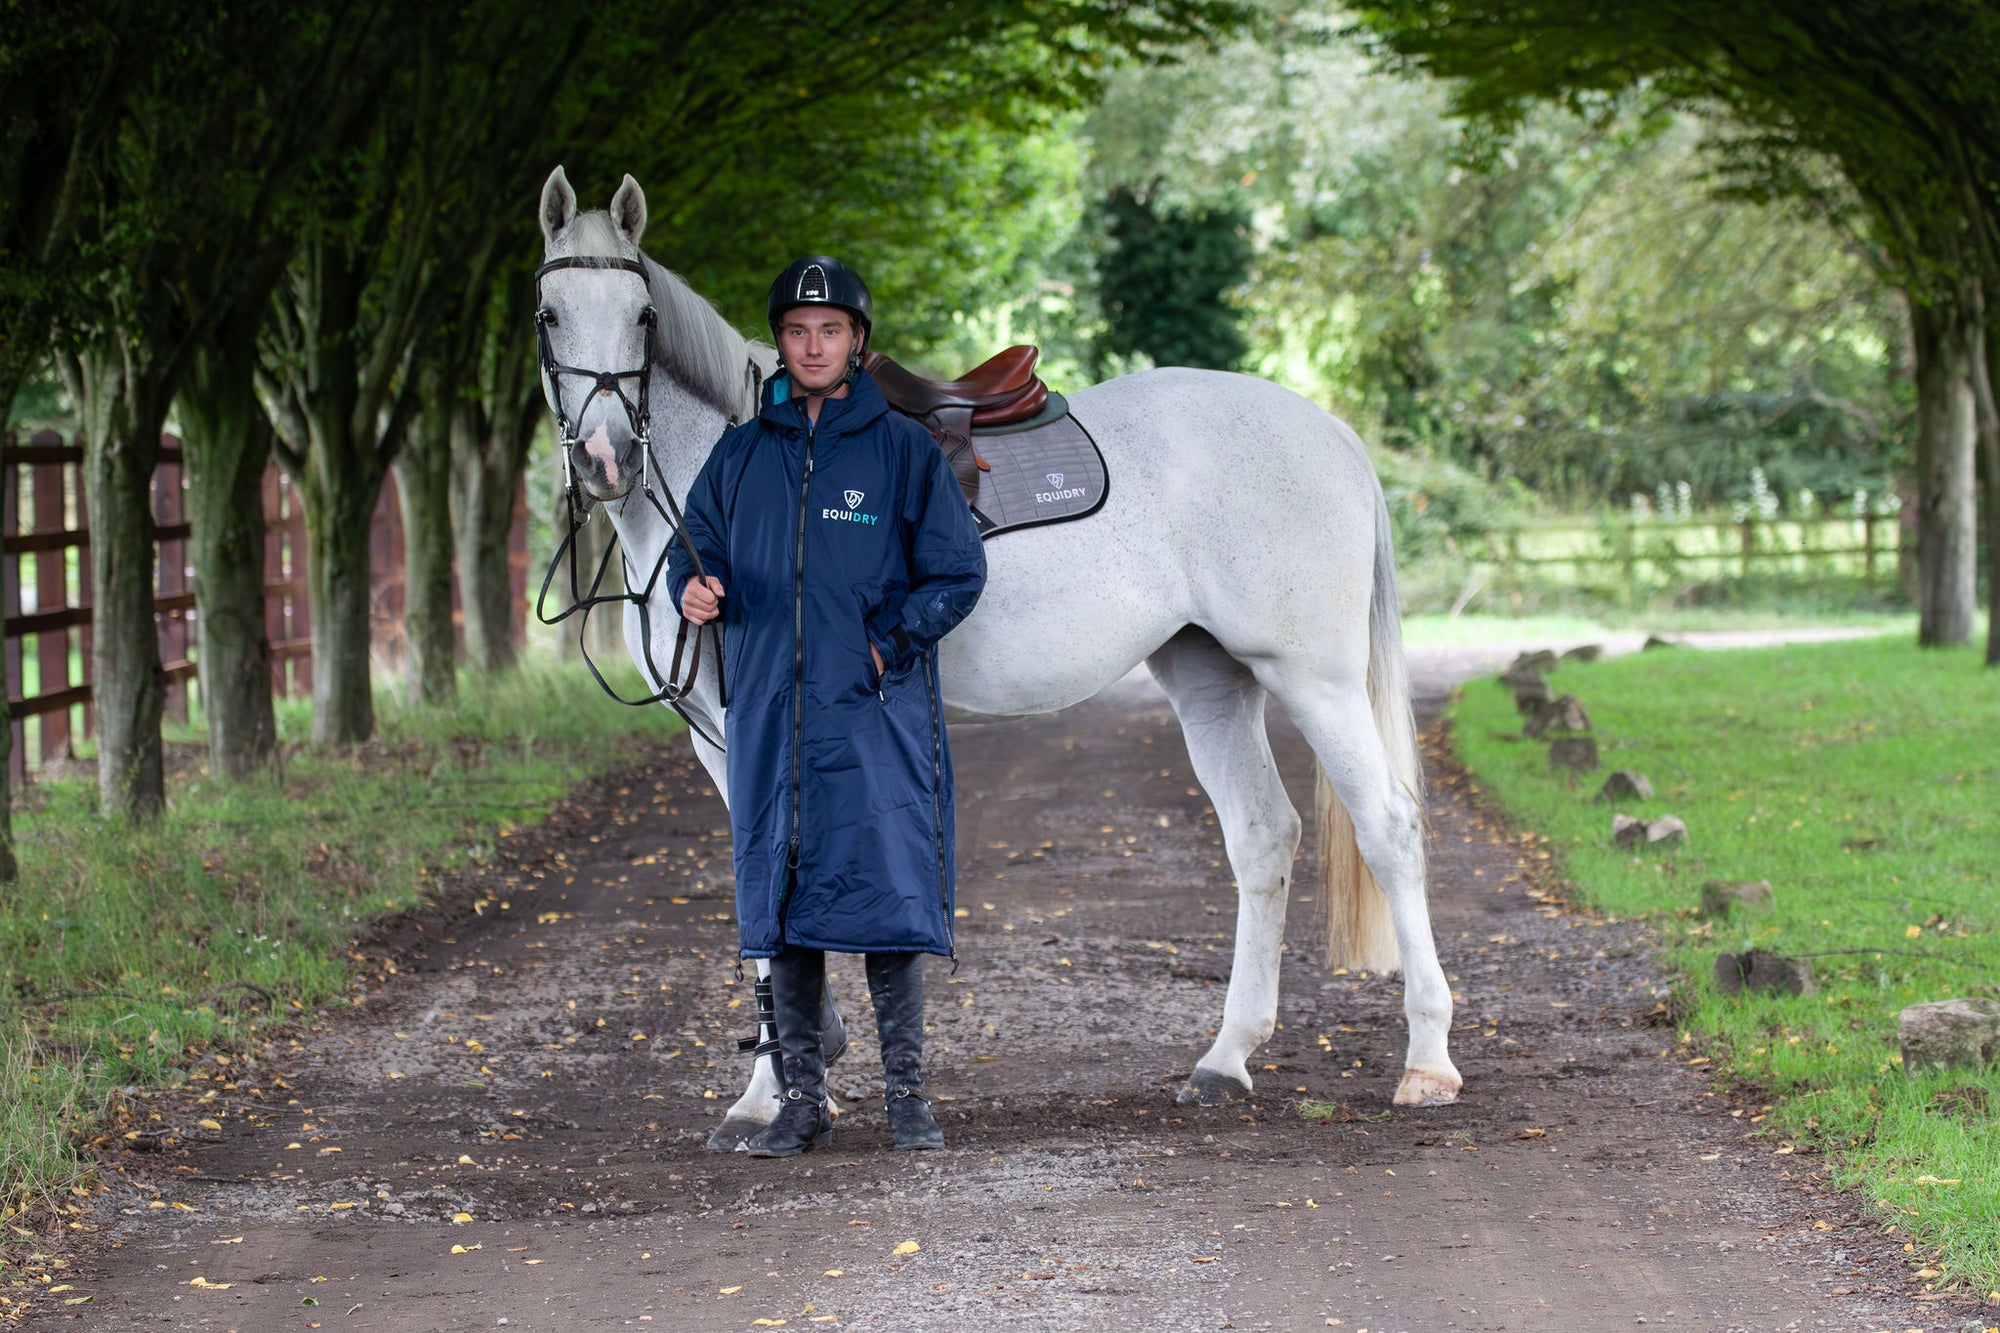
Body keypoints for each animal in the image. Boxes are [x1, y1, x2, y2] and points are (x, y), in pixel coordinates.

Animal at [540, 166, 1464, 1144]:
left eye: (643, 314)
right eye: (549, 314)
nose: (602, 456)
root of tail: (1331, 432)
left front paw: (771, 1091)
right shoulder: (719, 739)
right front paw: (797, 1071)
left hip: (1313, 679)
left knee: (1389, 828)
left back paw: (1428, 1059)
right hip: (1212, 679)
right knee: (1262, 835)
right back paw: (1226, 1057)